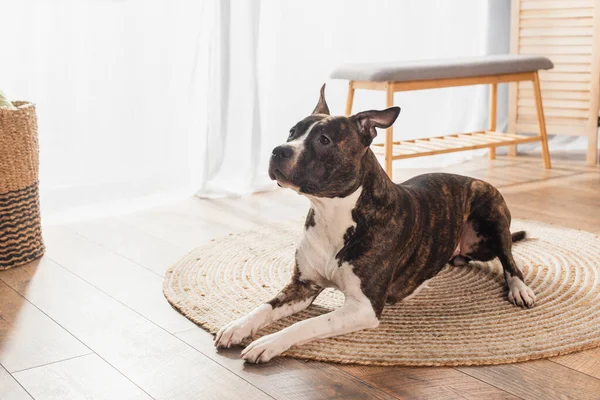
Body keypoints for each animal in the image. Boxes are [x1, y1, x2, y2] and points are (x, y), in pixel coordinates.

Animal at [216, 83, 536, 362]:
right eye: (292, 132)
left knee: (509, 259)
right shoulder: (302, 286)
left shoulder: (363, 307)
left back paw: (520, 289)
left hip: (491, 212)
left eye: (324, 140)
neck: (333, 214)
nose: (278, 150)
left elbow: (307, 324)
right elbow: (264, 308)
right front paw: (237, 327)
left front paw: (267, 343)